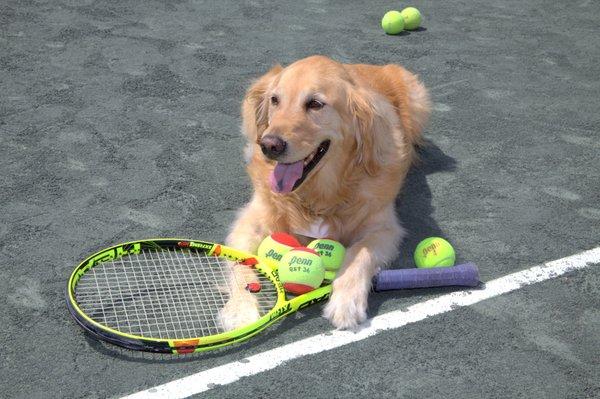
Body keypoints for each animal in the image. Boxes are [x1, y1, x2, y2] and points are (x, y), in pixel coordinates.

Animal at [220, 56, 432, 332]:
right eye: (275, 100)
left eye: (315, 104)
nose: (269, 145)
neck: (318, 195)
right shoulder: (250, 221)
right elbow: (240, 263)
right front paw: (240, 309)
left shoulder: (384, 228)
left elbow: (359, 254)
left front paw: (345, 302)